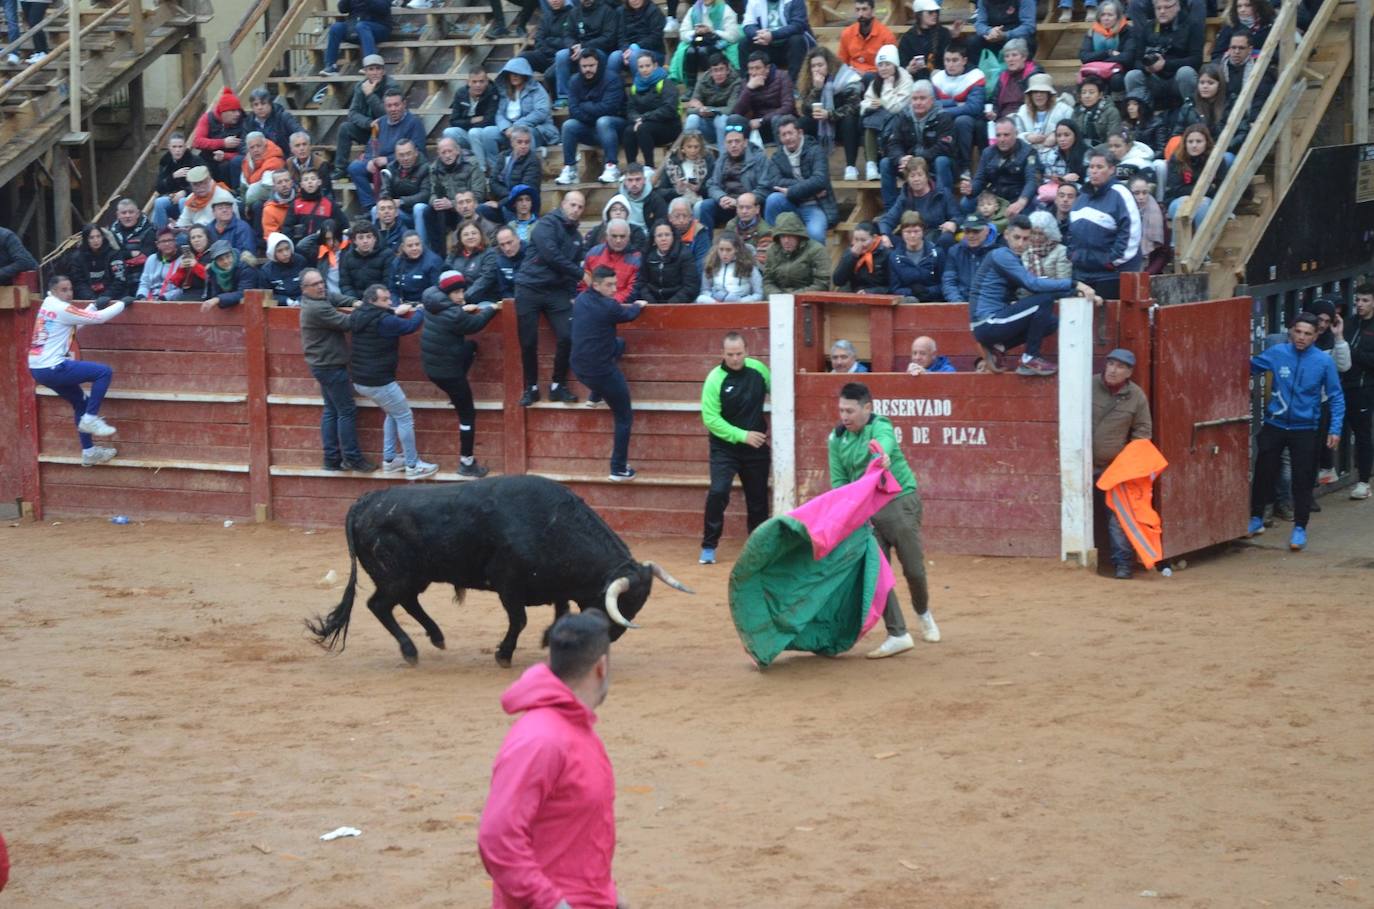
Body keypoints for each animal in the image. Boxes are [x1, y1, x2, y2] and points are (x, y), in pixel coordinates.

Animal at [313, 480, 697, 667]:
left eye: (639, 603)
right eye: (625, 603)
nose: (614, 636)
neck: (553, 525)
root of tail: (364, 502)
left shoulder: (554, 585)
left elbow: (561, 611)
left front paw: (550, 637)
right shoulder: (508, 586)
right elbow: (520, 620)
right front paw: (504, 654)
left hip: (415, 577)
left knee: (405, 603)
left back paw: (436, 636)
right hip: (395, 576)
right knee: (379, 606)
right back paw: (411, 651)